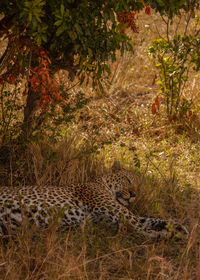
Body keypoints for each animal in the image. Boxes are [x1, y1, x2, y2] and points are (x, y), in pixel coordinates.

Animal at [0, 162, 188, 238]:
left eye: (139, 187)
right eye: (128, 180)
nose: (134, 194)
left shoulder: (107, 217)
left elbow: (147, 219)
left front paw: (176, 226)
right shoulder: (116, 210)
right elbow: (141, 226)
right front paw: (166, 234)